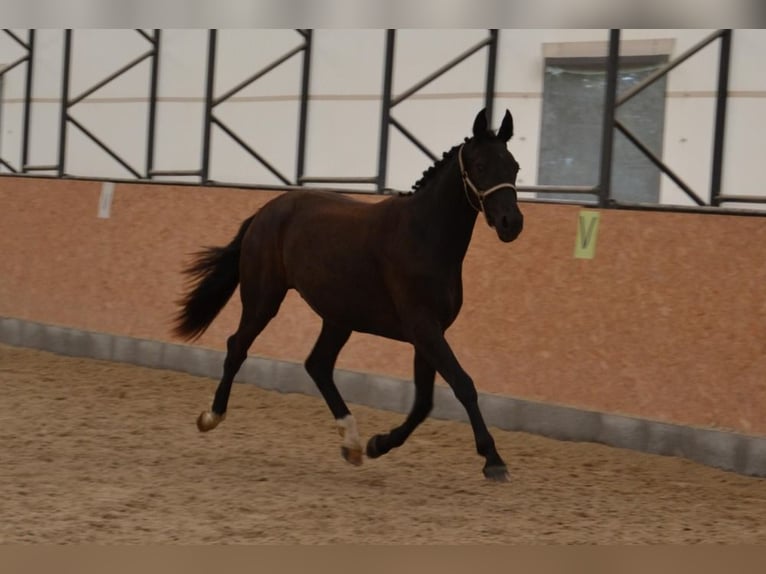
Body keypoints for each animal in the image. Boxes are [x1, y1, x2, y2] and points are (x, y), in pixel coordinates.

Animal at [174, 108, 524, 482]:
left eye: (514, 166)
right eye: (481, 165)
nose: (511, 223)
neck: (424, 236)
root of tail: (266, 212)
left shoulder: (429, 334)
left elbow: (423, 402)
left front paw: (377, 444)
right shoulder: (424, 329)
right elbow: (463, 385)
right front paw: (493, 460)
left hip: (338, 317)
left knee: (317, 365)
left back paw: (353, 444)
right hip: (263, 300)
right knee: (237, 347)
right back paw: (211, 417)